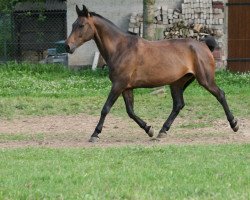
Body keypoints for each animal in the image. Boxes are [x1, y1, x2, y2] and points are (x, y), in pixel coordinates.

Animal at [65, 4, 239, 142]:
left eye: (81, 25)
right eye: (73, 24)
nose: (67, 46)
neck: (121, 48)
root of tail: (203, 45)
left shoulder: (118, 85)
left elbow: (106, 108)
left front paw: (95, 134)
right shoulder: (126, 87)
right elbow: (130, 111)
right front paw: (149, 129)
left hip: (205, 79)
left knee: (220, 94)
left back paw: (234, 124)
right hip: (177, 83)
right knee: (178, 105)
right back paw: (162, 131)